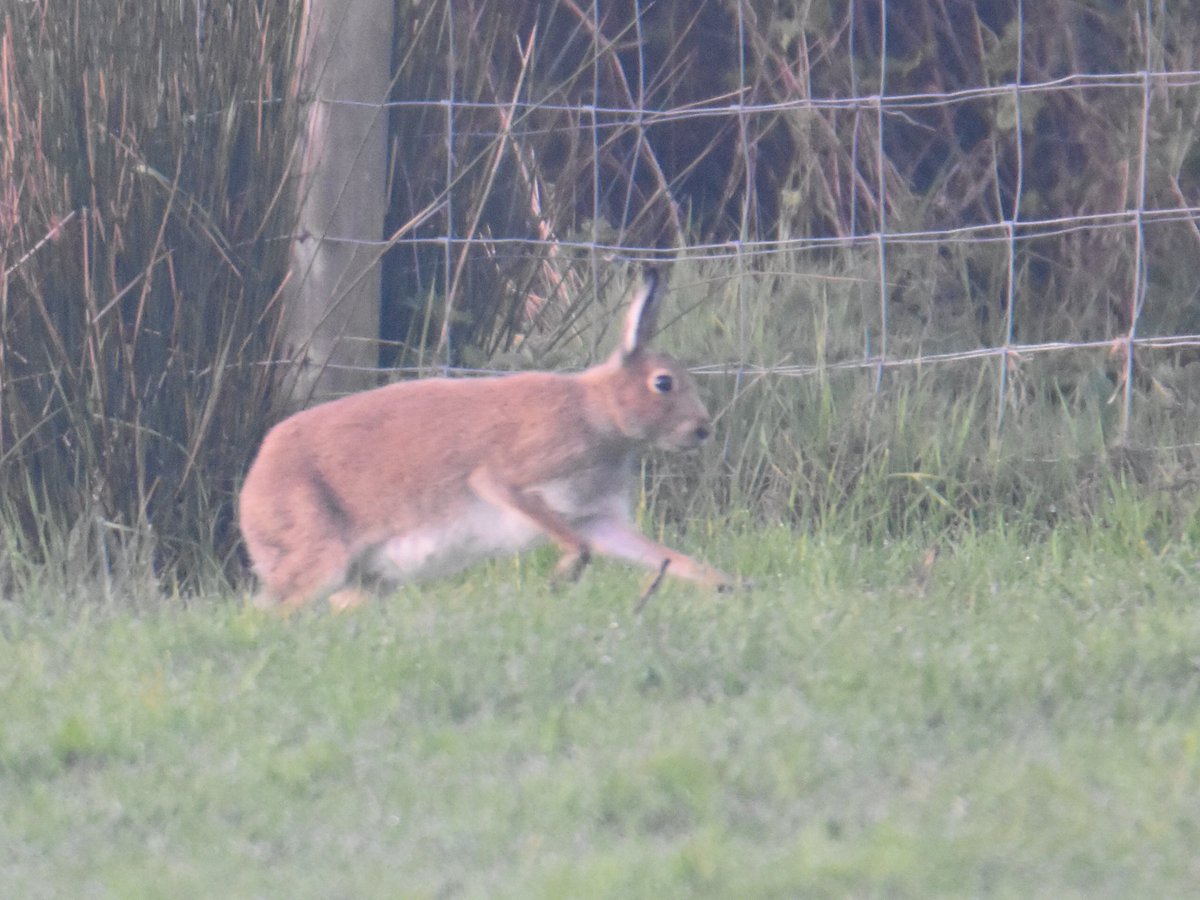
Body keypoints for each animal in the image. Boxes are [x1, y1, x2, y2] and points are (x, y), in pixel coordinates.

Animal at [238, 267, 735, 611]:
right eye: (663, 383)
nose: (703, 429)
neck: (601, 413)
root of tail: (252, 488)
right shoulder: (511, 478)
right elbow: (573, 543)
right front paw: (561, 580)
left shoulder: (597, 518)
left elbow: (663, 556)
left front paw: (727, 585)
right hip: (320, 552)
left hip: (367, 580)